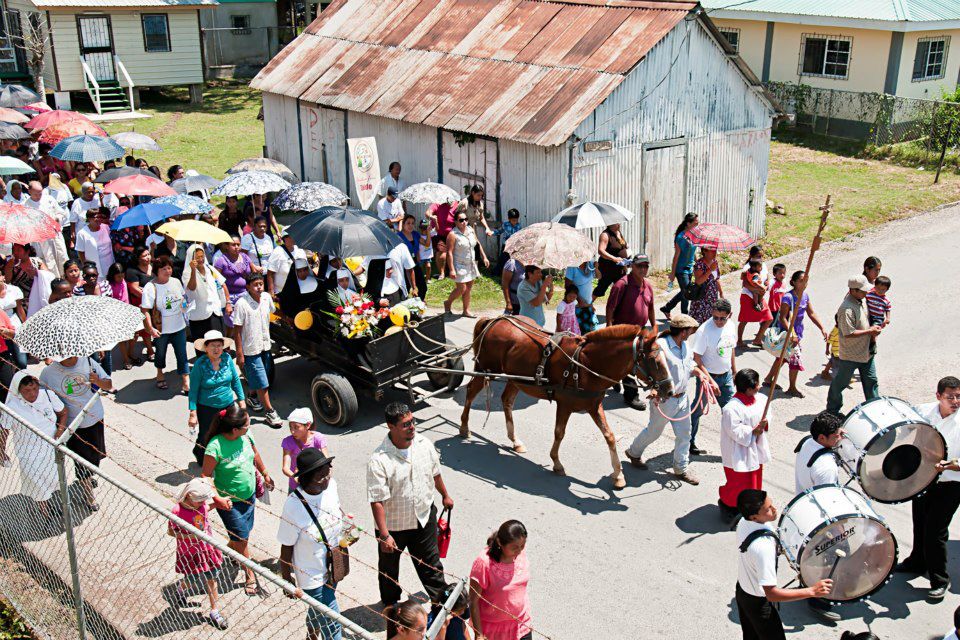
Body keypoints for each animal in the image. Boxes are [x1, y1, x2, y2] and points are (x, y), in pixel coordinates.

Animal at [460, 316, 672, 490]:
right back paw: (464, 427)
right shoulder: (565, 404)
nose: (669, 390)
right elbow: (559, 433)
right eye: (654, 360)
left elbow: (609, 436)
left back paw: (515, 440)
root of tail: (494, 320)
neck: (585, 363)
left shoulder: (594, 406)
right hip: (485, 369)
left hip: (516, 379)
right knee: (470, 392)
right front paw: (556, 463)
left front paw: (618, 475)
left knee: (507, 401)